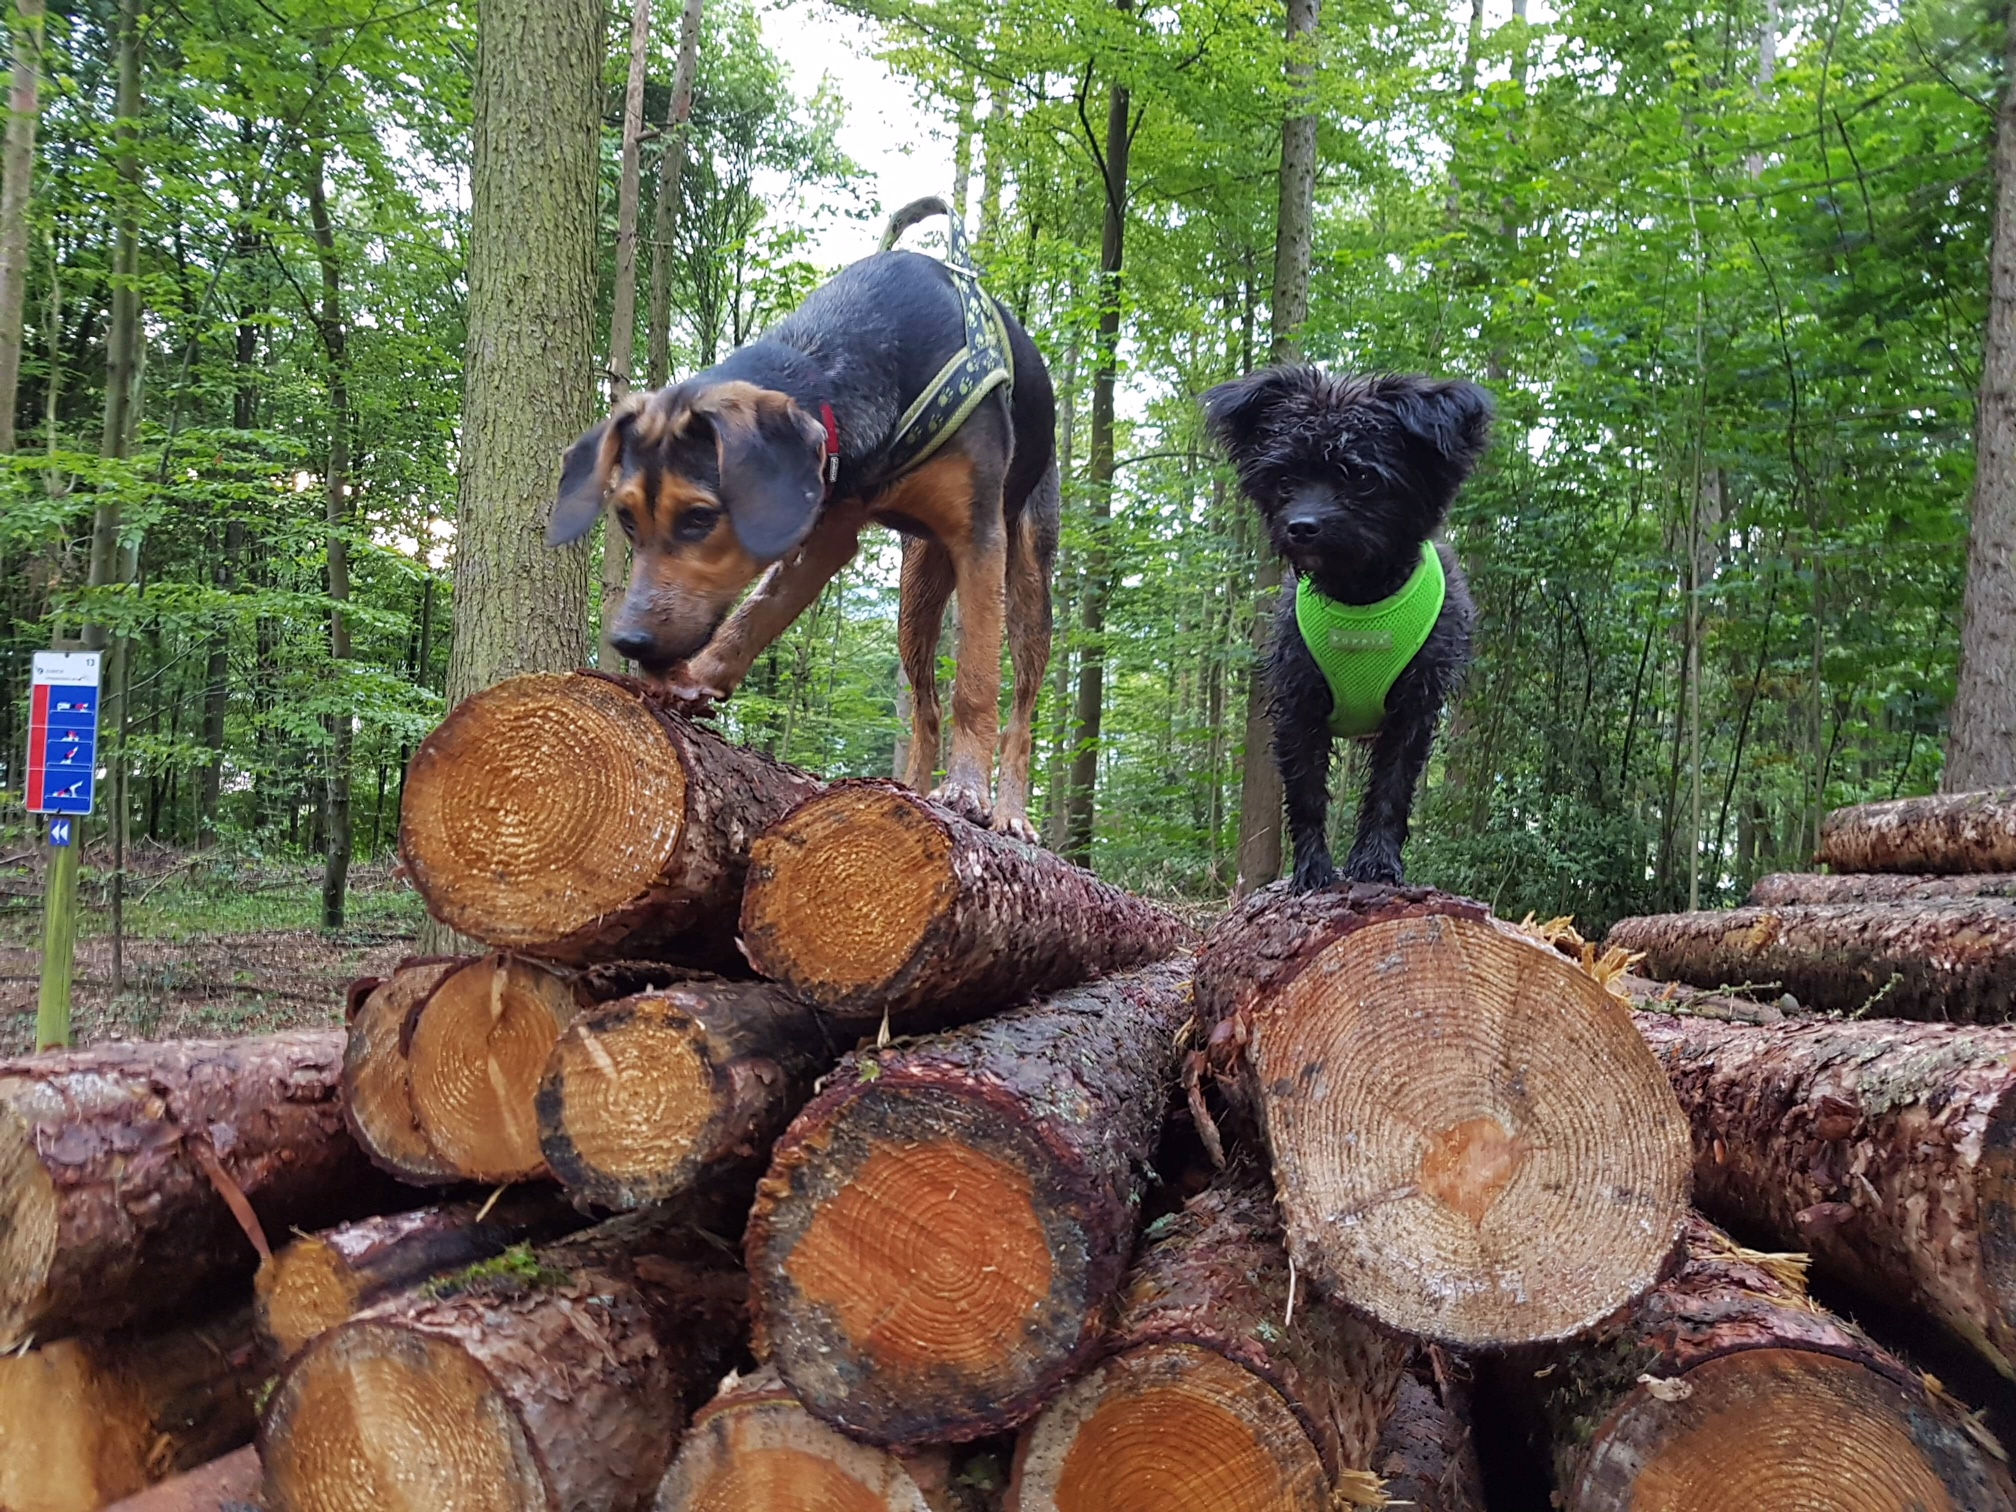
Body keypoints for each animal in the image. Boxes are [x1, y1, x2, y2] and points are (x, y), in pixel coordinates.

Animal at [548, 198, 1059, 838]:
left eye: (699, 517)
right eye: (626, 519)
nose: (627, 639)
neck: (841, 355)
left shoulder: (979, 537)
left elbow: (977, 683)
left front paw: (968, 789)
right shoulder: (824, 529)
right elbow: (755, 616)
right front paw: (696, 679)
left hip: (1028, 573)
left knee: (1021, 706)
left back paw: (1008, 811)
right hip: (916, 591)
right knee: (924, 706)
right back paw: (912, 791)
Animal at [1203, 366, 1490, 892]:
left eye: (1360, 476)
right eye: (1285, 478)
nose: (1301, 526)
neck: (1359, 598)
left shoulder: (1413, 709)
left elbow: (1391, 791)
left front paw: (1377, 862)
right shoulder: (1299, 705)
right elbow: (1306, 794)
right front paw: (1313, 868)